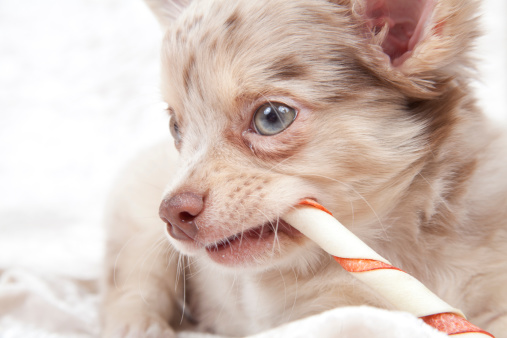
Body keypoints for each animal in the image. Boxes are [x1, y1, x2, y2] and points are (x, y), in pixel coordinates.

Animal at [101, 0, 507, 336]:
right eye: (176, 128)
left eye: (272, 117)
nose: (172, 213)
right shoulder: (325, 315)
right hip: (140, 220)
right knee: (135, 281)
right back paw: (134, 324)